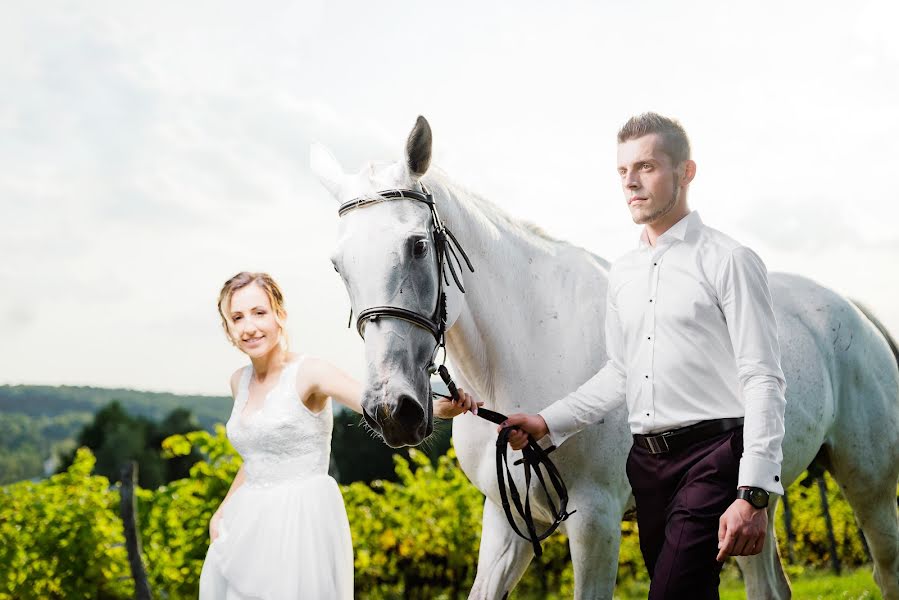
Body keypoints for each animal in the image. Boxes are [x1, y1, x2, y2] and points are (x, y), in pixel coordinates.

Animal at [314, 118, 899, 600]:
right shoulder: (506, 521)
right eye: (337, 265)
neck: (527, 351)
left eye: (417, 245)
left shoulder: (594, 521)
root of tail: (854, 311)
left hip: (869, 486)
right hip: (755, 501)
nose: (392, 410)